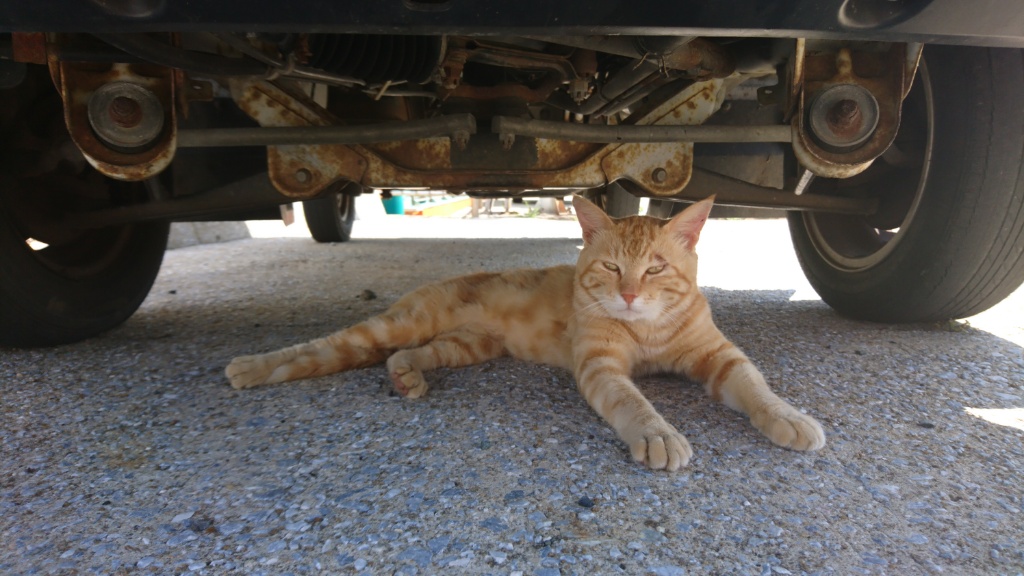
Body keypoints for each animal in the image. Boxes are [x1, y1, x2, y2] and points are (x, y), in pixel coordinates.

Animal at [225, 195, 825, 470]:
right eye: (612, 268)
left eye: (655, 269)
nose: (630, 294)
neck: (647, 329)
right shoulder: (601, 367)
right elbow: (634, 402)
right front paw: (658, 434)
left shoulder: (720, 356)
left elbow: (757, 388)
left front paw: (790, 417)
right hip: (396, 324)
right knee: (323, 347)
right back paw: (247, 365)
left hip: (463, 346)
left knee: (404, 354)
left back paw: (405, 377)